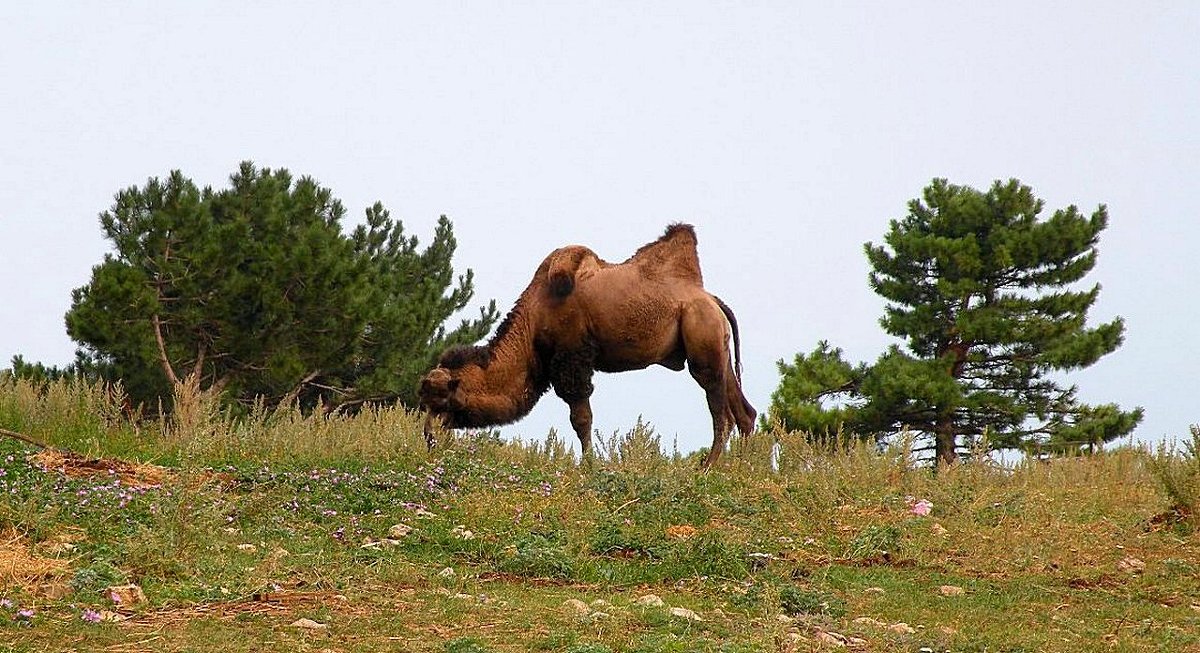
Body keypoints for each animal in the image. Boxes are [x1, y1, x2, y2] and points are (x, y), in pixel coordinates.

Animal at [417, 224, 753, 470]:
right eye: (425, 401)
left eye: (444, 400)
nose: (429, 438)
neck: (535, 319)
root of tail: (712, 300)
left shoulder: (571, 356)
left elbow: (581, 419)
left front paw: (588, 467)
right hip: (718, 349)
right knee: (744, 413)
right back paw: (742, 469)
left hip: (702, 338)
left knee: (720, 411)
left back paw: (707, 468)